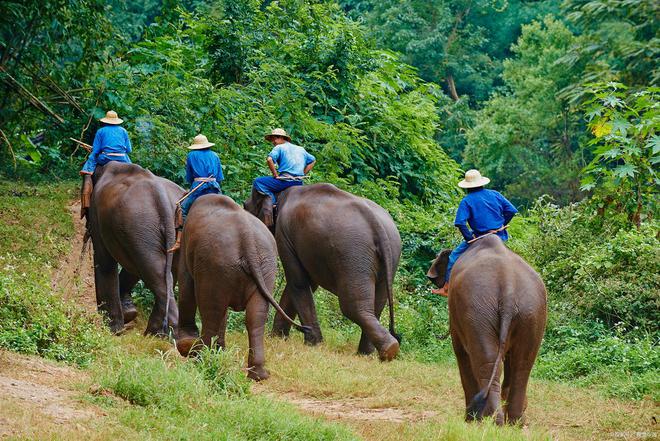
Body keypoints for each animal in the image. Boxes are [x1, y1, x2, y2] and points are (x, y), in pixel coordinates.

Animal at [85, 162, 183, 334]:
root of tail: (161, 197)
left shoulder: (97, 215)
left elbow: (104, 262)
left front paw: (112, 329)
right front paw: (129, 313)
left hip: (139, 224)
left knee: (154, 272)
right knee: (165, 273)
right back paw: (157, 333)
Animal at [175, 194, 310, 380]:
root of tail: (248, 240)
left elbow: (186, 285)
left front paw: (189, 347)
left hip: (215, 263)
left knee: (211, 312)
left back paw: (202, 362)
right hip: (265, 265)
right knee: (255, 315)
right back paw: (259, 375)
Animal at [242, 183, 400, 360]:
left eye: (246, 206)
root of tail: (376, 223)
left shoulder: (284, 234)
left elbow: (298, 282)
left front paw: (313, 343)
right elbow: (305, 284)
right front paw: (277, 338)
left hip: (353, 256)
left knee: (352, 307)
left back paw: (387, 349)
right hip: (388, 255)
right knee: (377, 305)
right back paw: (370, 353)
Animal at [428, 235, 548, 424]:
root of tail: (509, 286)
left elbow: (461, 352)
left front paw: (470, 419)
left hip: (478, 310)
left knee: (487, 363)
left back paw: (490, 421)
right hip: (532, 312)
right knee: (522, 365)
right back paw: (515, 423)